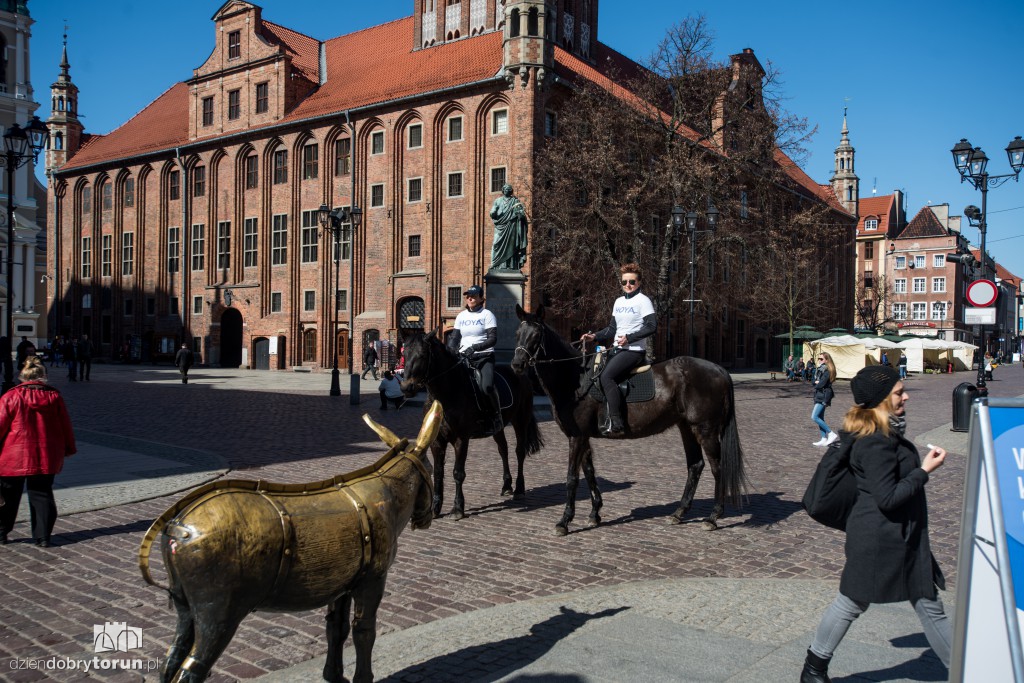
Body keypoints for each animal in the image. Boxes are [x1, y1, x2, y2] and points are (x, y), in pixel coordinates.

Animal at [399, 329, 544, 518]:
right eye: (404, 354)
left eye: (423, 354)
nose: (406, 387)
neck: (447, 393)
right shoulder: (437, 441)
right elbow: (438, 472)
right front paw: (435, 508)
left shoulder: (461, 439)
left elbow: (458, 473)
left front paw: (458, 508)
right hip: (498, 428)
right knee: (503, 450)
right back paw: (506, 485)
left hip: (521, 420)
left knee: (519, 452)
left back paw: (519, 489)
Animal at [512, 307, 745, 536]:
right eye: (518, 333)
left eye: (536, 335)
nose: (516, 364)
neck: (575, 379)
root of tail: (719, 370)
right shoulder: (583, 436)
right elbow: (589, 473)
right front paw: (595, 513)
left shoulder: (576, 437)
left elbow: (572, 478)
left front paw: (564, 521)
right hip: (687, 428)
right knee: (695, 466)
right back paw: (679, 513)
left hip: (705, 430)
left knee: (718, 468)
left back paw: (713, 517)